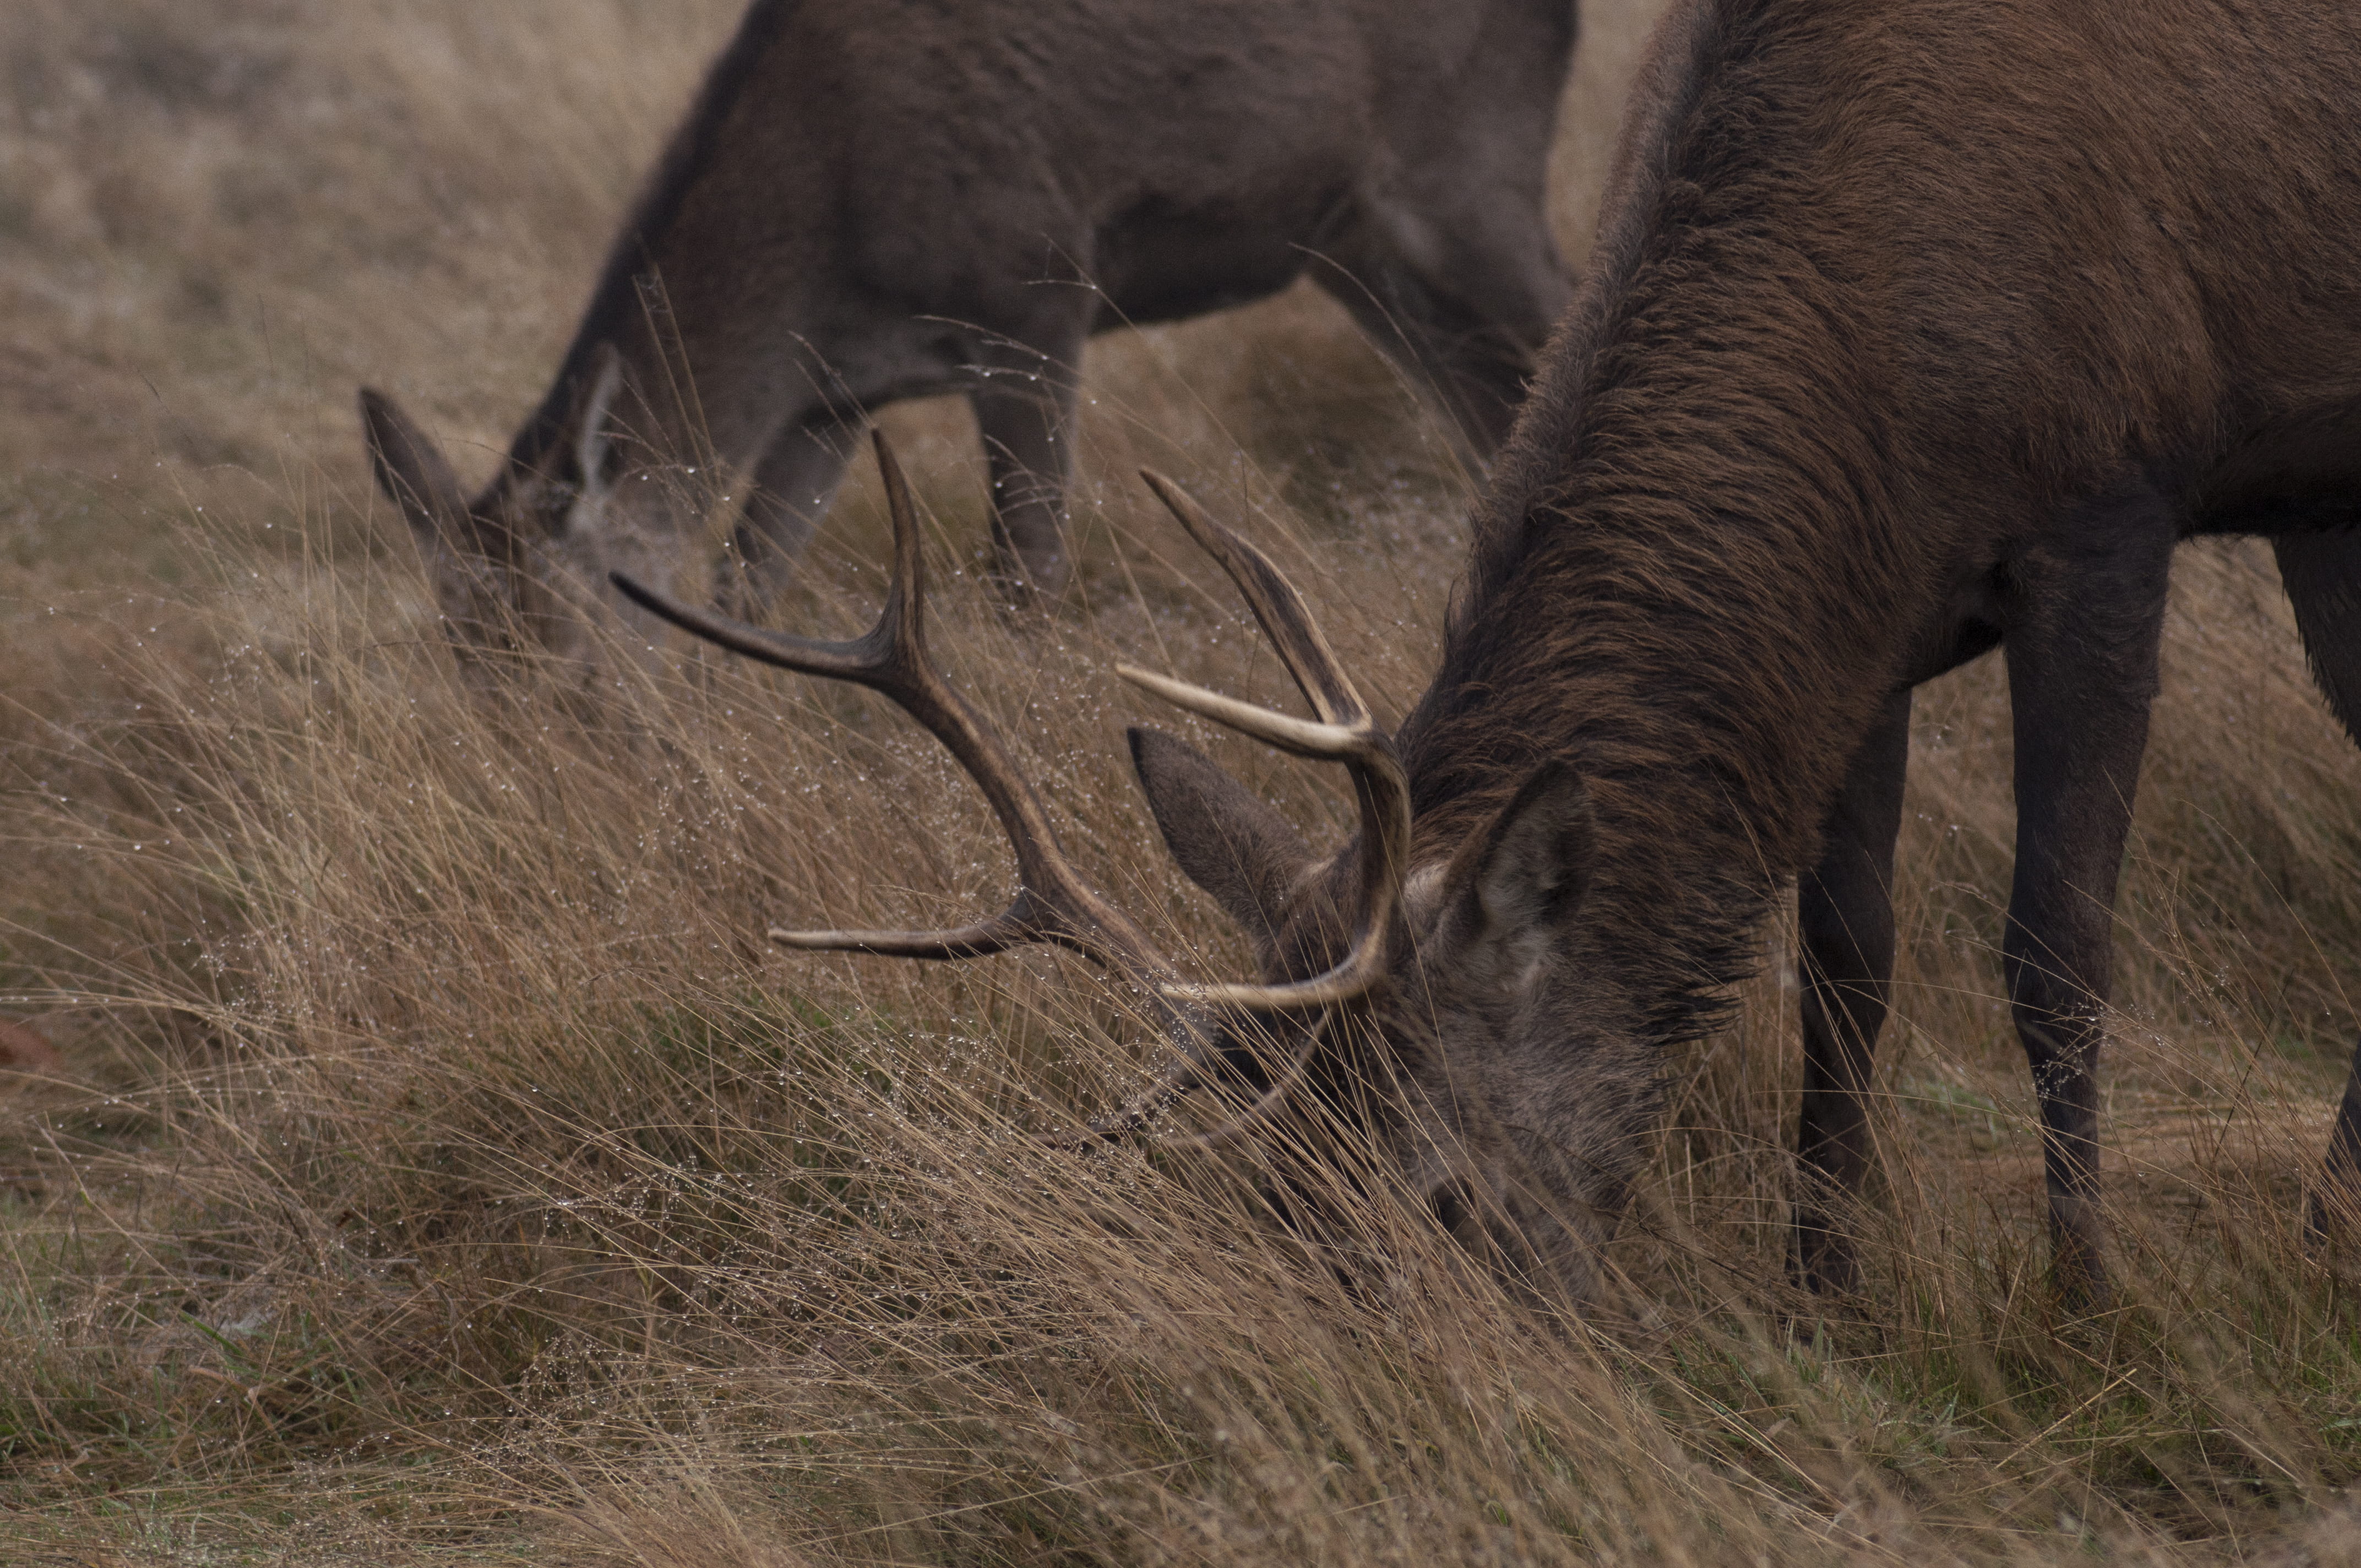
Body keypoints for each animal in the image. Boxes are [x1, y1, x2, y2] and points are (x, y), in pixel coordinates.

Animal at [357, 0, 1579, 659]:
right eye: (469, 668)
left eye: (571, 657)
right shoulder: (830, 399)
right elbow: (746, 587)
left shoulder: (1031, 294)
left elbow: (1025, 576)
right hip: (1357, 253)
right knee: (1491, 411)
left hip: (1467, 163)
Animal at [619, 0, 2361, 1308]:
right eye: (1280, 1187)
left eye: (1443, 1196)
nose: (1409, 1378)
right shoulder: (1868, 618)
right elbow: (1844, 961)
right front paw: (1821, 1297)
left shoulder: (2106, 506)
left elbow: (2052, 948)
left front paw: (2083, 1305)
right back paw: (2328, 1223)